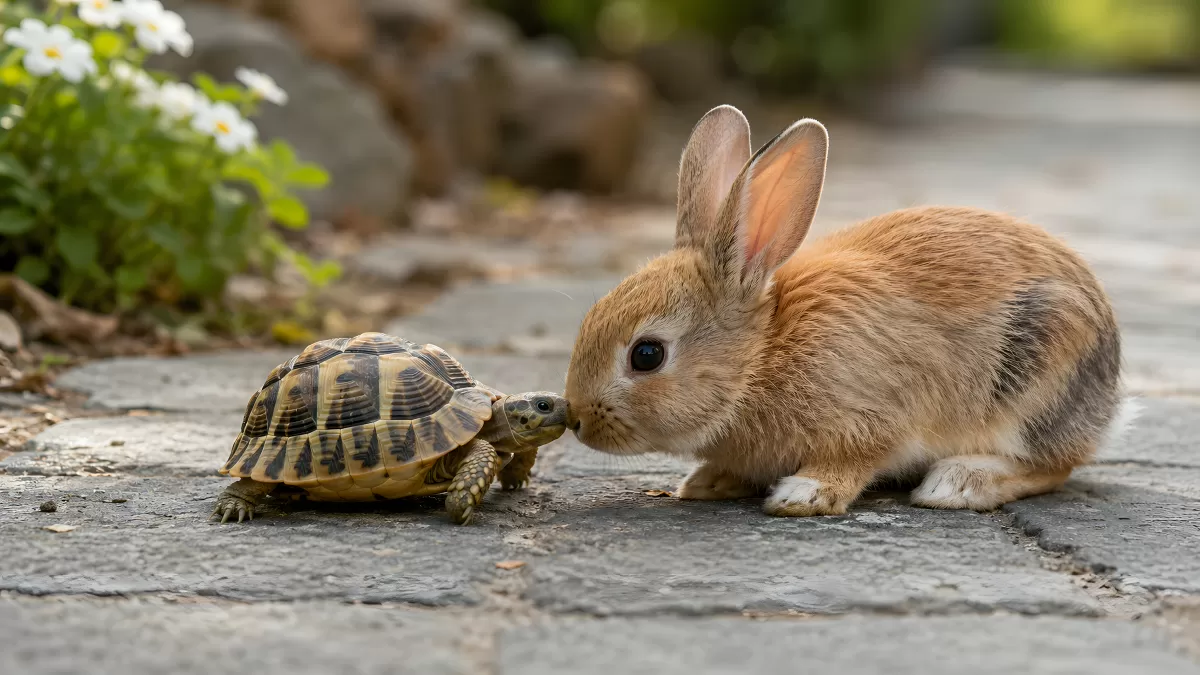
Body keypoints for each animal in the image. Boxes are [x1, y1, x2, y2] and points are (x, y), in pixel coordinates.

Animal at [563, 104, 1133, 517]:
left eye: (647, 355)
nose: (578, 420)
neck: (760, 357)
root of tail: (1107, 404)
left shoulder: (872, 419)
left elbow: (854, 460)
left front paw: (804, 494)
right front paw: (709, 481)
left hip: (1039, 376)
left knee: (1053, 465)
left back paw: (956, 485)